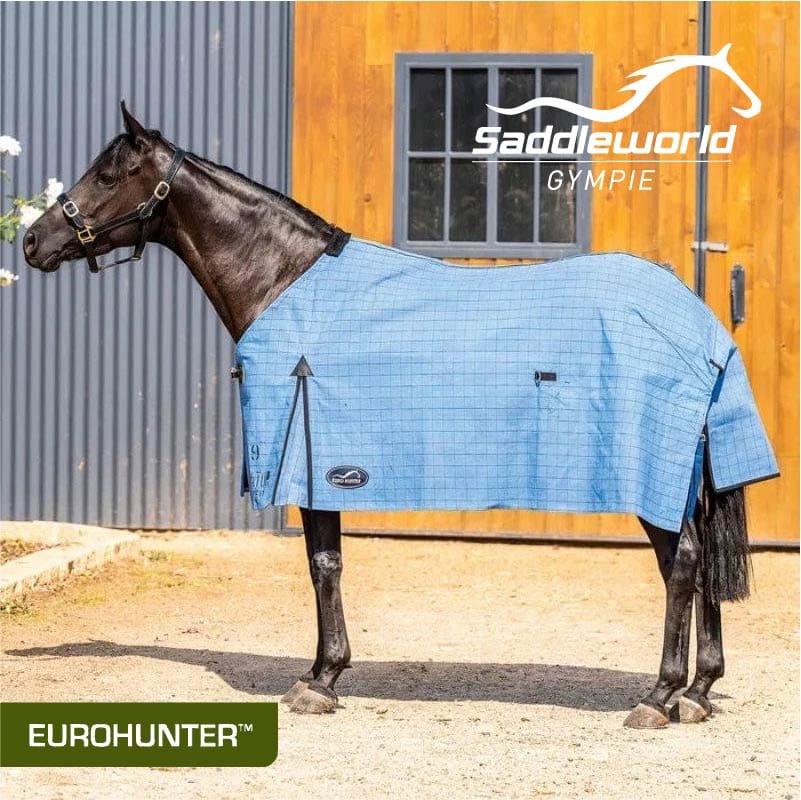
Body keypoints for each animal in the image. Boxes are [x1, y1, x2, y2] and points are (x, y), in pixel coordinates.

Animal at [24, 103, 771, 726]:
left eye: (109, 172)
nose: (33, 240)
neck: (283, 280)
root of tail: (696, 320)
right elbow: (325, 563)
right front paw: (323, 673)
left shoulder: (312, 460)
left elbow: (323, 564)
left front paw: (320, 681)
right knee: (699, 569)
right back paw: (698, 693)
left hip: (654, 475)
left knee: (682, 565)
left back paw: (658, 696)